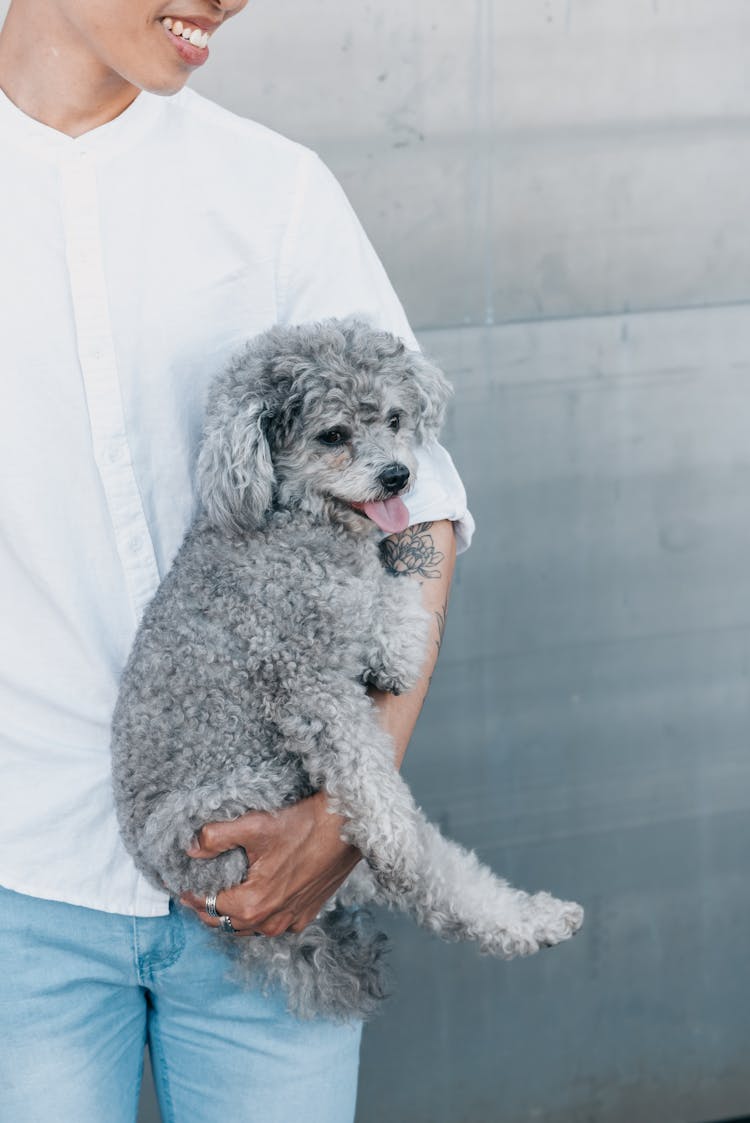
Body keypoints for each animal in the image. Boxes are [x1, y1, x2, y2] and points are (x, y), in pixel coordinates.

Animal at [110, 316, 579, 1019]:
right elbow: (366, 771)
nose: (397, 475)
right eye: (332, 435)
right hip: (239, 798)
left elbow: (392, 608)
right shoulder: (305, 684)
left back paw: (534, 920)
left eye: (393, 418)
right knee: (400, 846)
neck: (299, 528)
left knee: (447, 881)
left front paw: (393, 644)